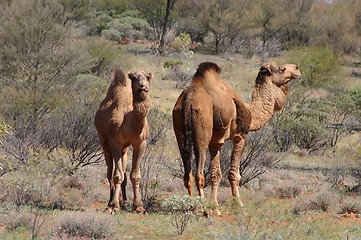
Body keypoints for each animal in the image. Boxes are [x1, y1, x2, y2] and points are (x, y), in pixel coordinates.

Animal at [93, 67, 151, 214]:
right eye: (135, 77)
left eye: (148, 77)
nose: (143, 86)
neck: (128, 123)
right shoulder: (115, 143)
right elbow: (117, 175)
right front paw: (113, 206)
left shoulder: (140, 143)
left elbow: (134, 175)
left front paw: (138, 206)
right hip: (102, 139)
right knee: (110, 172)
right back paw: (111, 202)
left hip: (125, 148)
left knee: (123, 171)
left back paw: (123, 202)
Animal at [172, 61, 300, 213]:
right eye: (282, 69)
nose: (297, 68)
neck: (251, 111)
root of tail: (188, 99)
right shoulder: (241, 136)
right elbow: (234, 173)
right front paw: (238, 203)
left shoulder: (215, 143)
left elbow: (216, 173)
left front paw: (216, 206)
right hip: (201, 133)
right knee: (199, 173)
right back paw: (204, 210)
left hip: (179, 131)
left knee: (187, 174)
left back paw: (192, 207)